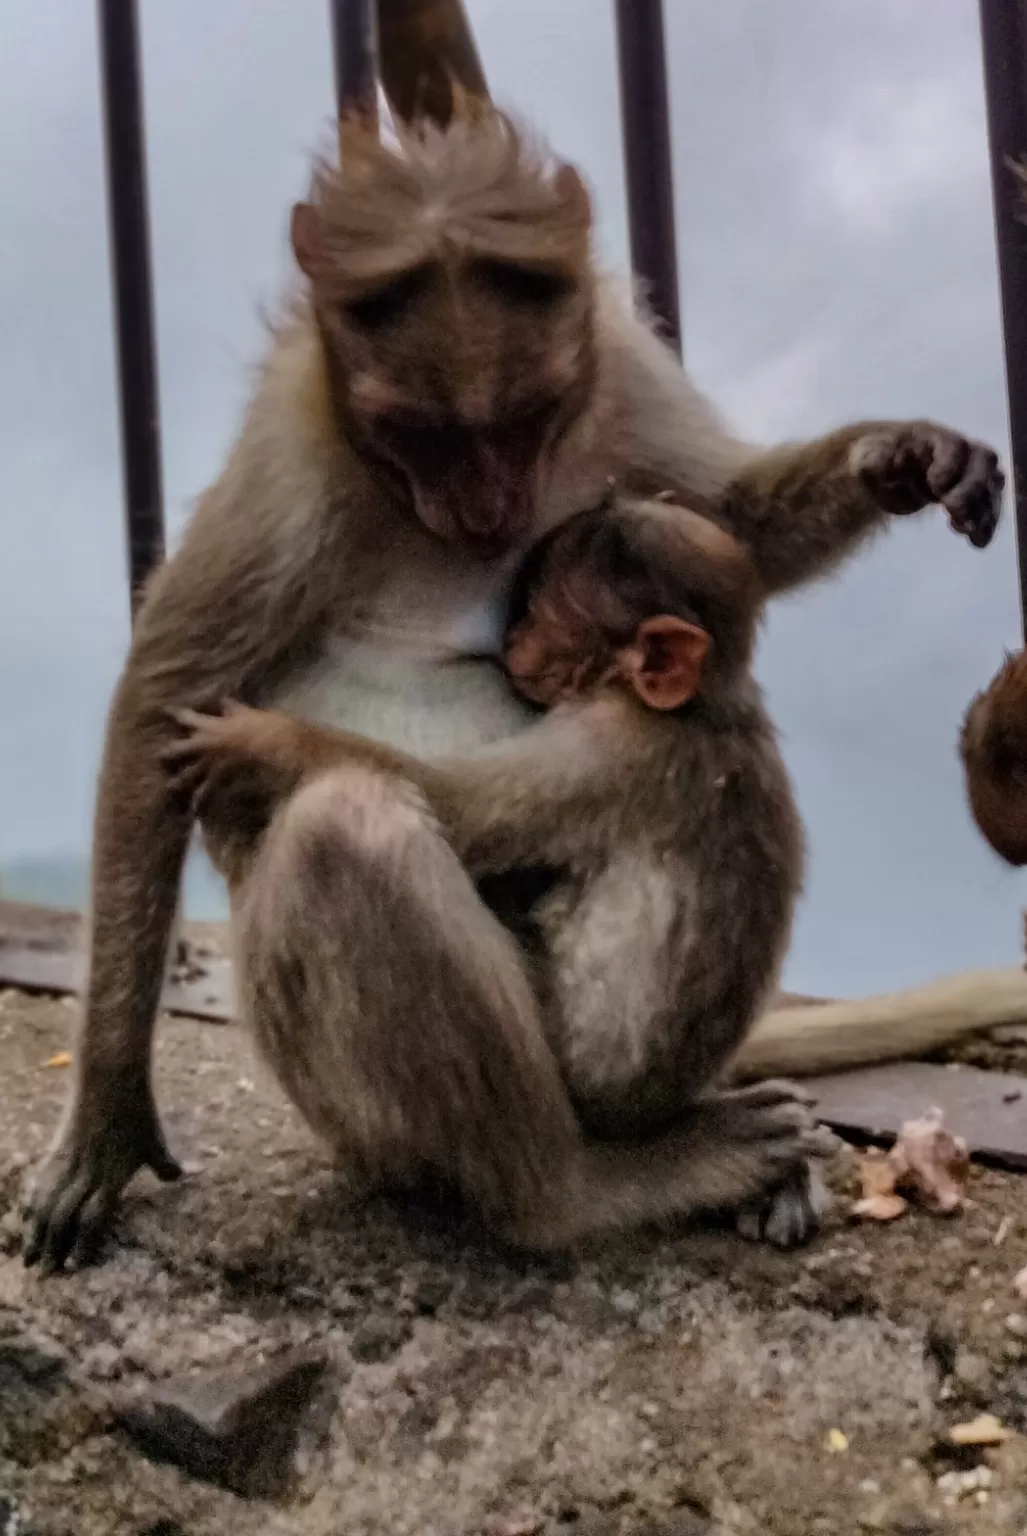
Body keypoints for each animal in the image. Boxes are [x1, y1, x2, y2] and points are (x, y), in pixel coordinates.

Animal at [166, 497, 822, 1253]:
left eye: (543, 613)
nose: (515, 639)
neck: (705, 707)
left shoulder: (608, 746)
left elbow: (456, 806)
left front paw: (261, 745)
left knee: (335, 827)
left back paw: (573, 1194)